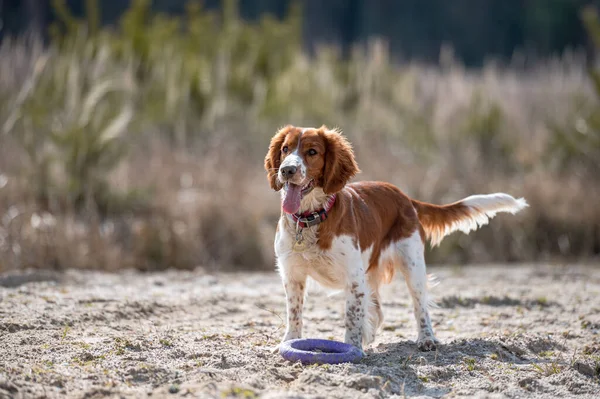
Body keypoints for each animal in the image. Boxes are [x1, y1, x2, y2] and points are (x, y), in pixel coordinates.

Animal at [264, 126, 528, 354]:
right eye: (285, 149)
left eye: (312, 152)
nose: (287, 170)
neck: (310, 218)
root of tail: (406, 198)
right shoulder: (293, 276)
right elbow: (294, 313)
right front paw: (288, 342)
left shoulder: (354, 279)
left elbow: (352, 318)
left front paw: (352, 348)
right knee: (378, 310)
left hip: (413, 266)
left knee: (420, 306)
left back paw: (426, 339)